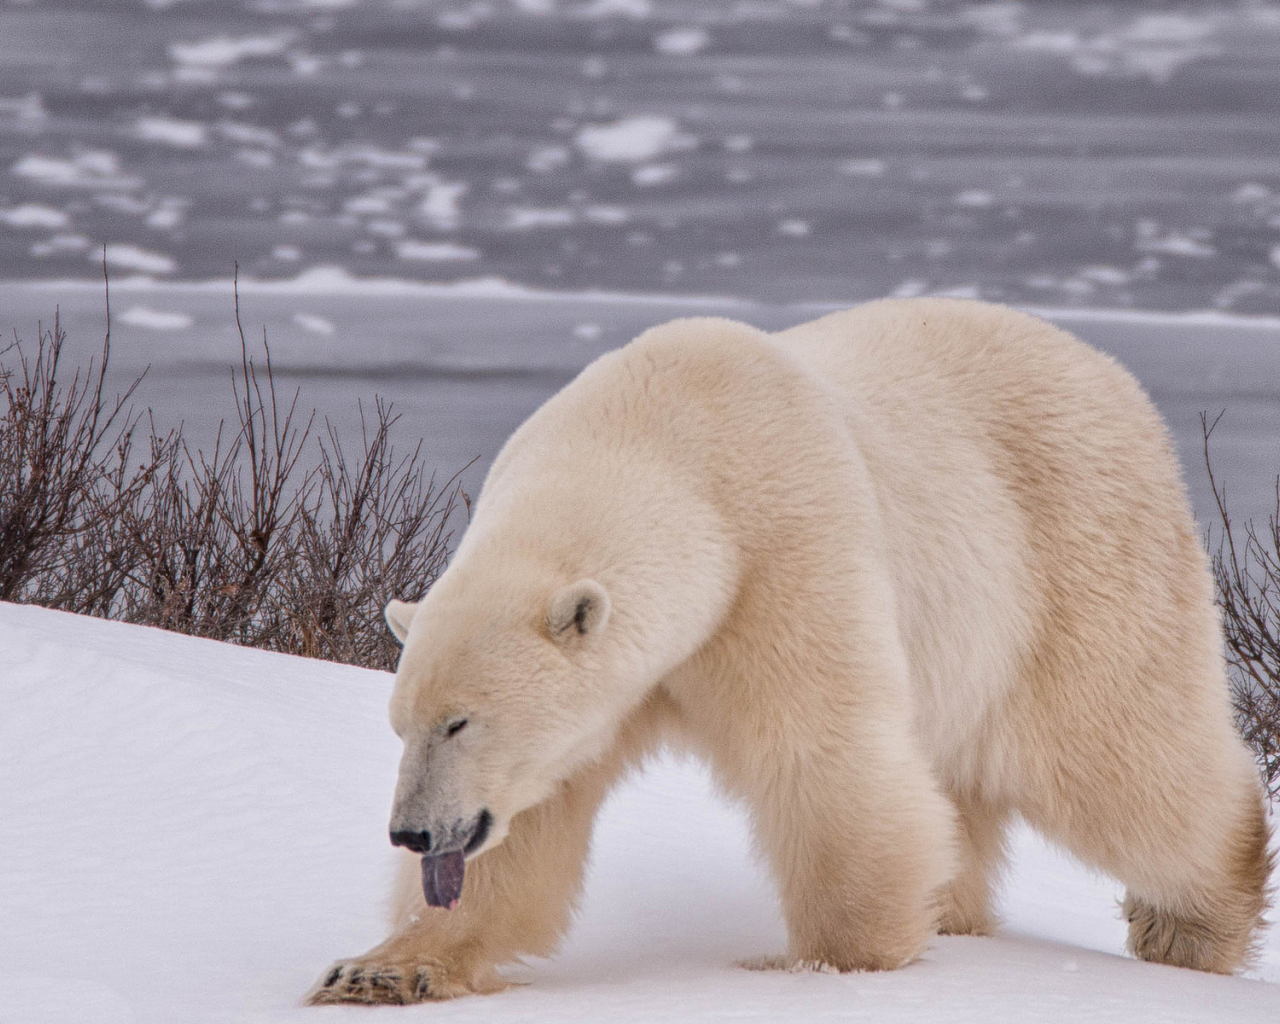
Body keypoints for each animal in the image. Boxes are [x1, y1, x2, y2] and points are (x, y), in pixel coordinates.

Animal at [307, 298, 1269, 1008]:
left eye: (460, 722)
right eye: (401, 724)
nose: (411, 830)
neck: (663, 440)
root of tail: (1107, 369)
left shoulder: (780, 552)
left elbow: (819, 754)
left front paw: (827, 963)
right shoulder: (613, 690)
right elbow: (531, 822)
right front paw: (377, 969)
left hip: (1073, 554)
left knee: (1112, 750)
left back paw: (1192, 924)